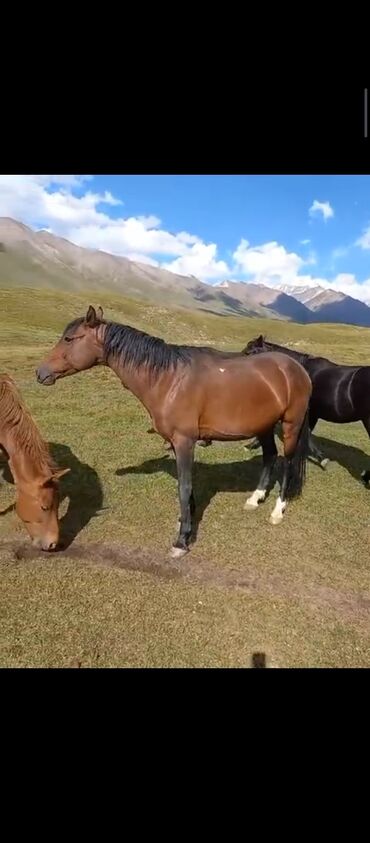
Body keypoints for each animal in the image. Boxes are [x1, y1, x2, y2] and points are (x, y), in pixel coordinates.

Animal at [36, 306, 312, 556]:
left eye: (69, 339)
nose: (40, 373)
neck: (169, 380)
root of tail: (296, 368)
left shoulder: (184, 442)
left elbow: (184, 488)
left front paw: (182, 540)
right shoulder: (177, 444)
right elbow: (186, 487)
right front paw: (185, 523)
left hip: (290, 426)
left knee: (287, 463)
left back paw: (277, 511)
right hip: (263, 426)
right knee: (269, 456)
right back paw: (255, 498)